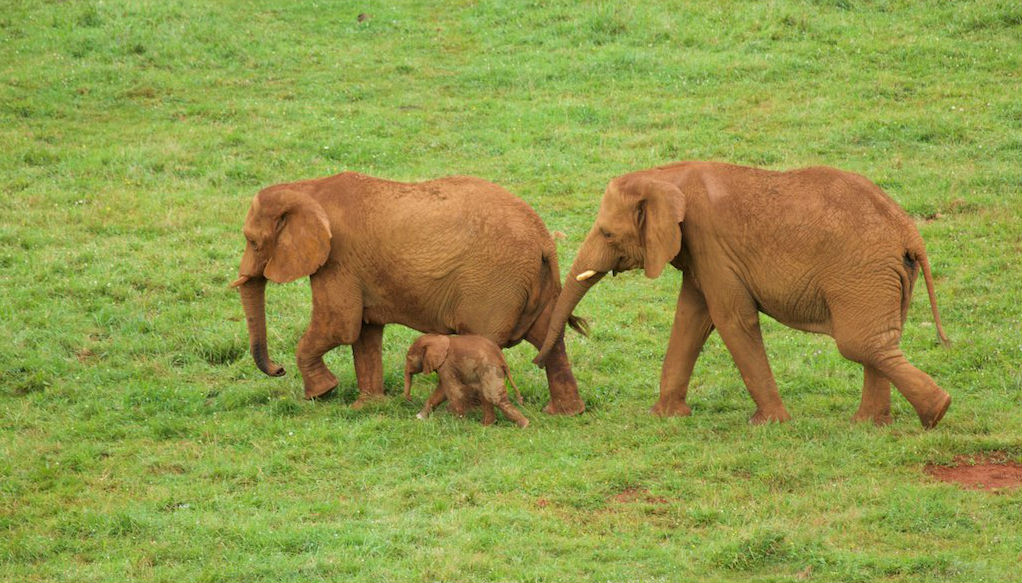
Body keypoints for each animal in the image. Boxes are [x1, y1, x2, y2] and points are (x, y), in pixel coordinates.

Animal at [230, 169, 584, 411]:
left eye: (252, 241)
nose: (278, 369)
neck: (305, 188)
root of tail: (544, 239)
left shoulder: (337, 259)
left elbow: (339, 326)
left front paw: (321, 393)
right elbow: (364, 332)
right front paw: (367, 407)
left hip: (495, 284)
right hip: (525, 284)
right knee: (550, 340)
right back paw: (563, 413)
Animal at [535, 161, 948, 423]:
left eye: (607, 233)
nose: (537, 362)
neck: (664, 176)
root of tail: (910, 233)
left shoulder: (709, 241)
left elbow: (731, 319)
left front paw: (769, 424)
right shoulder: (699, 251)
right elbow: (690, 318)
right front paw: (665, 417)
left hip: (862, 275)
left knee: (860, 344)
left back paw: (935, 412)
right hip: (885, 279)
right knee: (879, 344)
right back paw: (872, 424)